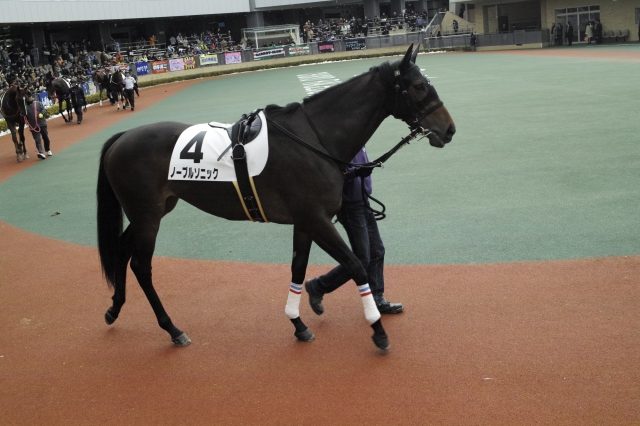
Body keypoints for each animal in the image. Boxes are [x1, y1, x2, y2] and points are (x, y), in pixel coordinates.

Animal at [96, 44, 456, 351]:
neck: (315, 138)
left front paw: (298, 323)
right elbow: (357, 266)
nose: (449, 129)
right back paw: (172, 328)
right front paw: (377, 330)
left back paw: (115, 308)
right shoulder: (317, 219)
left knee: (122, 250)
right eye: (419, 86)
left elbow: (298, 269)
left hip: (152, 211)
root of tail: (121, 137)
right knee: (141, 265)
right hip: (147, 216)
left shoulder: (305, 222)